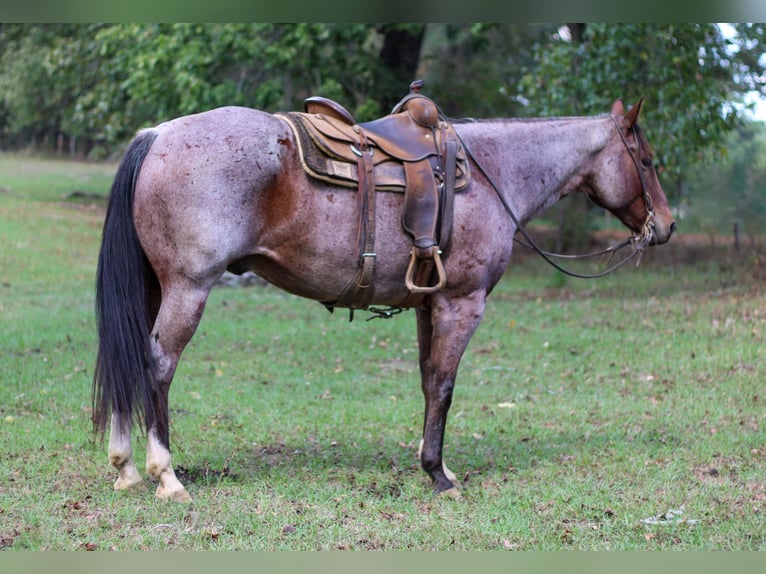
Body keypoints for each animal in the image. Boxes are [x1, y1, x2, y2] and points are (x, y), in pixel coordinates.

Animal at [93, 99, 676, 504]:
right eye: (647, 161)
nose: (666, 226)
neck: (492, 172)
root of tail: (158, 135)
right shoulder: (462, 304)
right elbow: (444, 386)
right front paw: (438, 474)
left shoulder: (429, 306)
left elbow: (426, 381)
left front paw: (432, 463)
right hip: (188, 288)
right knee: (157, 363)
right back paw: (165, 474)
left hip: (154, 288)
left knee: (128, 358)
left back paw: (125, 468)